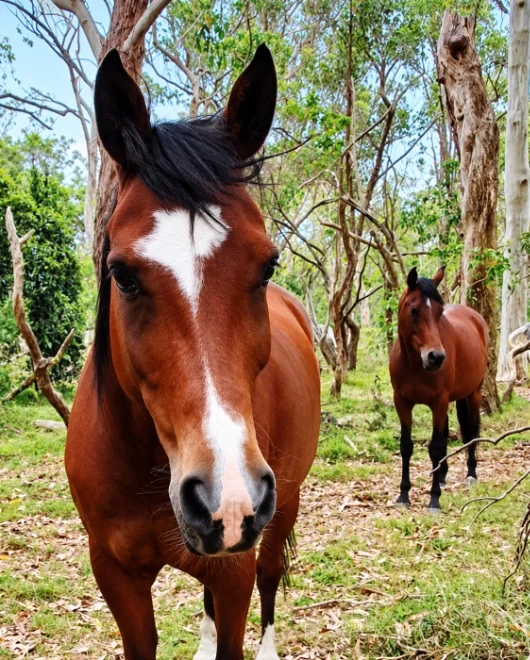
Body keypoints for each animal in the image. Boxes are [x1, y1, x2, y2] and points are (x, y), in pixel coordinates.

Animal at [65, 45, 320, 660]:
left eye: (267, 266)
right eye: (123, 275)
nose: (225, 500)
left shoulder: (236, 571)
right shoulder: (116, 575)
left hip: (281, 510)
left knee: (271, 579)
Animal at [389, 266, 488, 512]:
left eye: (439, 312)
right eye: (414, 310)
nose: (436, 357)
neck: (414, 365)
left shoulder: (439, 402)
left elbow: (436, 447)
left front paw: (434, 499)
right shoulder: (402, 402)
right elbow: (407, 446)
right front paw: (403, 495)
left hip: (472, 394)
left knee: (471, 431)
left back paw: (471, 474)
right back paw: (442, 476)